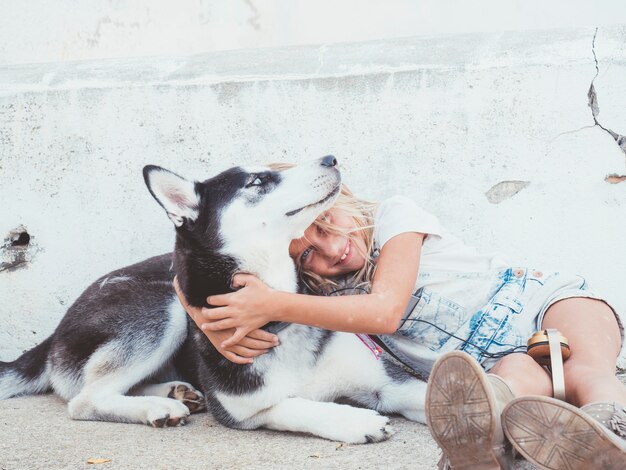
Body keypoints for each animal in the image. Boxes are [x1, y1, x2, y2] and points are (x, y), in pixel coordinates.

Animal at [0, 156, 424, 442]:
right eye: (257, 181)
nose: (331, 158)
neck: (278, 319)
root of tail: (53, 336)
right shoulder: (240, 410)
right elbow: (291, 405)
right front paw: (354, 420)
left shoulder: (391, 383)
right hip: (166, 305)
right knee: (84, 400)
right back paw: (158, 405)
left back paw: (175, 392)